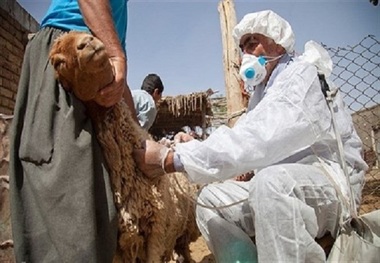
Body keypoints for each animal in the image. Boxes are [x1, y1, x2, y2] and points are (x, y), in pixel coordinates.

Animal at [48, 31, 200, 263]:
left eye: (87, 32)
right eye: (58, 62)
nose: (88, 42)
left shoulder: (156, 230)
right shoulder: (121, 243)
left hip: (183, 226)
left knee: (183, 247)